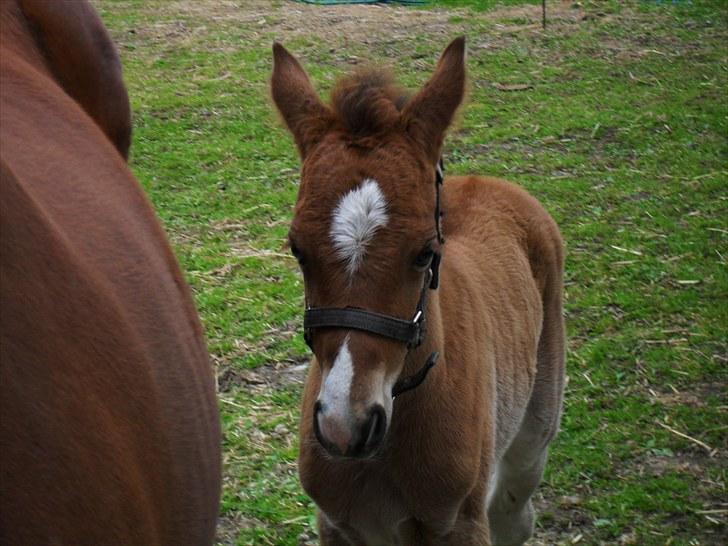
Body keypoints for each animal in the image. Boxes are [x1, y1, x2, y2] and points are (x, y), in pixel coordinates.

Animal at [270, 38, 564, 544]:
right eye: (297, 249)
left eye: (426, 252)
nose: (347, 426)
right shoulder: (335, 525)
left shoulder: (460, 524)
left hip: (533, 432)